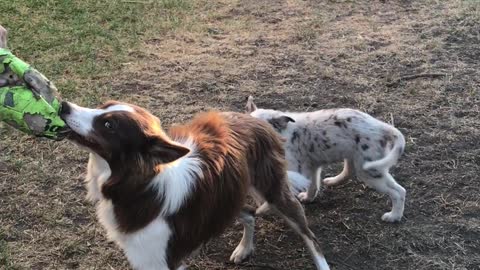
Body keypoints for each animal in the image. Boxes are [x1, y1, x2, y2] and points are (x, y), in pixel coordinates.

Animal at [60, 100, 330, 270]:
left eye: (109, 125)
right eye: (101, 106)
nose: (64, 105)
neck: (135, 187)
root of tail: (253, 118)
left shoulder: (163, 259)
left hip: (272, 190)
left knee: (309, 235)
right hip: (225, 198)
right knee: (249, 214)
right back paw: (244, 249)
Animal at [246, 96, 406, 223]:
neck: (282, 135)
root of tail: (383, 128)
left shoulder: (296, 171)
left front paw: (261, 209)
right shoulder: (311, 168)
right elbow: (312, 186)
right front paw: (308, 198)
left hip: (369, 171)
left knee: (398, 191)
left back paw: (394, 216)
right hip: (356, 160)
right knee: (349, 173)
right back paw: (333, 181)